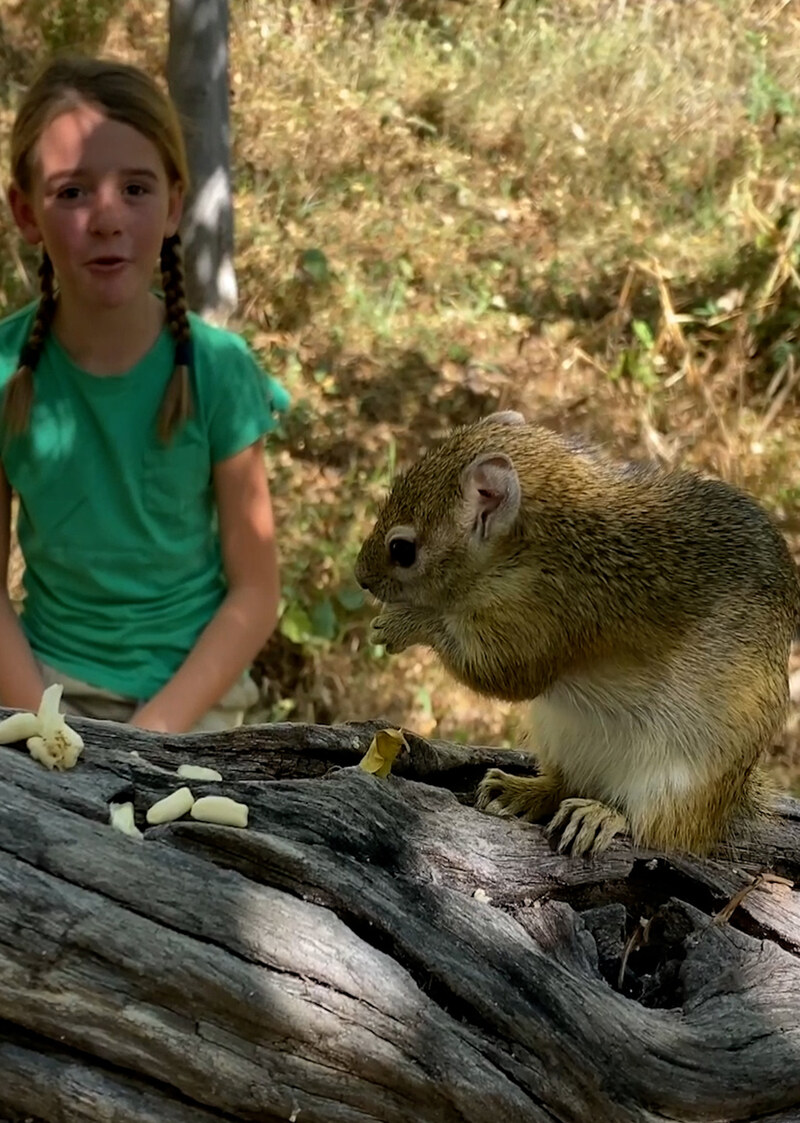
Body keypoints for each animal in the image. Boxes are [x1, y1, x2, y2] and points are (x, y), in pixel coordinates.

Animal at [357, 408, 800, 853]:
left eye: (402, 550)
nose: (361, 578)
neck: (540, 544)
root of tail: (724, 807)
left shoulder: (551, 616)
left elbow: (505, 675)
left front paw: (405, 623)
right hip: (558, 737)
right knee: (567, 783)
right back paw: (523, 791)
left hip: (684, 781)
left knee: (656, 828)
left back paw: (602, 816)